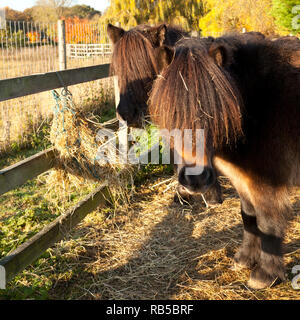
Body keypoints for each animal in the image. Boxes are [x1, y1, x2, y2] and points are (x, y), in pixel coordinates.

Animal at [148, 33, 300, 288]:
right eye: (172, 113)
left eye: (215, 113)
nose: (196, 179)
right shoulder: (242, 179)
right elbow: (249, 217)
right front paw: (245, 259)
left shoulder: (267, 184)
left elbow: (268, 222)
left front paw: (265, 275)